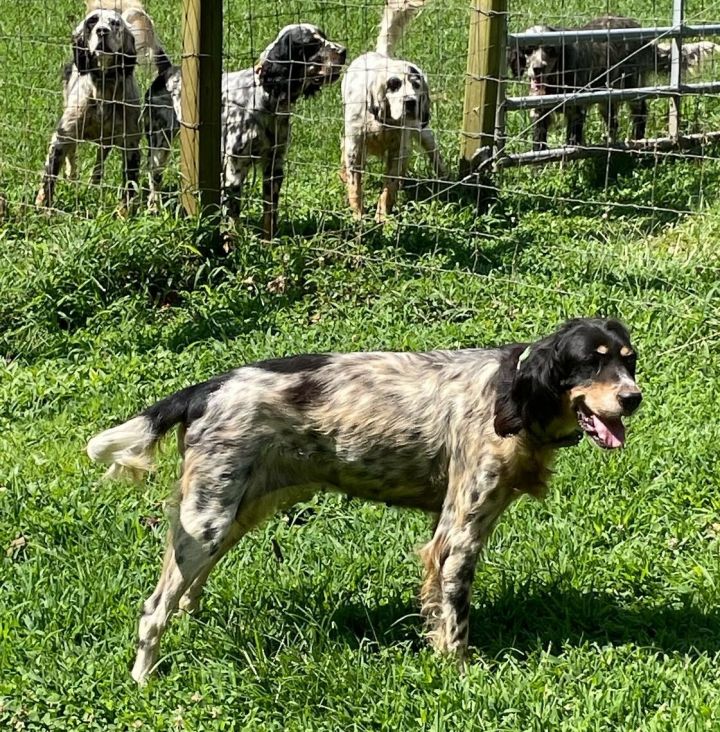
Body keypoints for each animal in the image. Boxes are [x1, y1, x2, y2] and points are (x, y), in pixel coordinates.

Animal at [36, 2, 155, 209]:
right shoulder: (62, 135)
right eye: (92, 21)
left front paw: (125, 212)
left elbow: (129, 185)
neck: (103, 90)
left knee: (99, 163)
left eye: (115, 23)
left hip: (106, 141)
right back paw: (72, 178)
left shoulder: (130, 143)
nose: (102, 31)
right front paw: (43, 207)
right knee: (72, 156)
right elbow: (49, 176)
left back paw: (93, 184)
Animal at [87, 318, 644, 684]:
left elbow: (435, 613)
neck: (513, 397)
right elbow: (456, 622)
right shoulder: (459, 537)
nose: (633, 398)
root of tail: (208, 387)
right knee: (153, 609)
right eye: (590, 362)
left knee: (185, 593)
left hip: (232, 513)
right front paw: (461, 677)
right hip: (209, 518)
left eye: (628, 360)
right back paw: (143, 678)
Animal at [143, 22, 346, 239]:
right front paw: (235, 243)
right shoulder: (235, 169)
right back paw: (153, 210)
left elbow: (270, 213)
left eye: (324, 37)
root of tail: (168, 70)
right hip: (159, 146)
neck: (266, 97)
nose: (344, 51)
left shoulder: (274, 166)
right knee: (154, 181)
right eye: (313, 44)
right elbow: (233, 217)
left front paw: (268, 242)